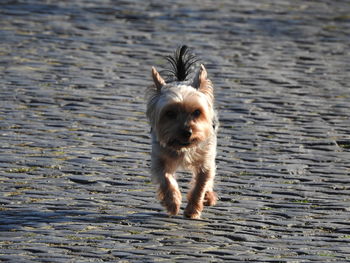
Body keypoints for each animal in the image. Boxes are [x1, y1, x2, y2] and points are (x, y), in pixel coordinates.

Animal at [146, 46, 217, 220]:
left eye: (197, 112)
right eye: (170, 113)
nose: (187, 131)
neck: (184, 147)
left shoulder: (206, 159)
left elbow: (201, 183)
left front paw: (193, 210)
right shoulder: (159, 157)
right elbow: (166, 179)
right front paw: (172, 203)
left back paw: (209, 197)